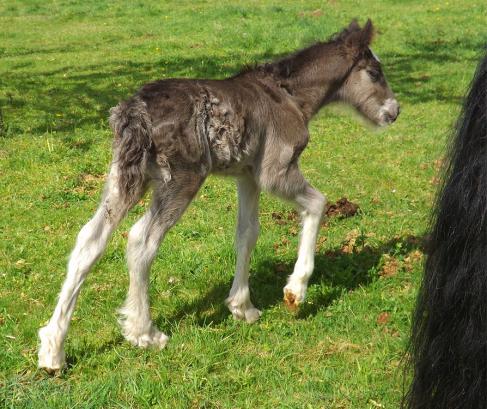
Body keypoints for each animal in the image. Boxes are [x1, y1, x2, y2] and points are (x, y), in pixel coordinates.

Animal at [39, 19, 400, 372]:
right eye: (374, 72)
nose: (394, 111)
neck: (290, 95)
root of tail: (135, 110)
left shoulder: (247, 176)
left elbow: (247, 233)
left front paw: (242, 307)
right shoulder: (275, 172)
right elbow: (318, 203)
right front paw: (295, 291)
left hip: (126, 177)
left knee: (90, 239)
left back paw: (53, 350)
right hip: (181, 180)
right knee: (142, 240)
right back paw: (144, 333)